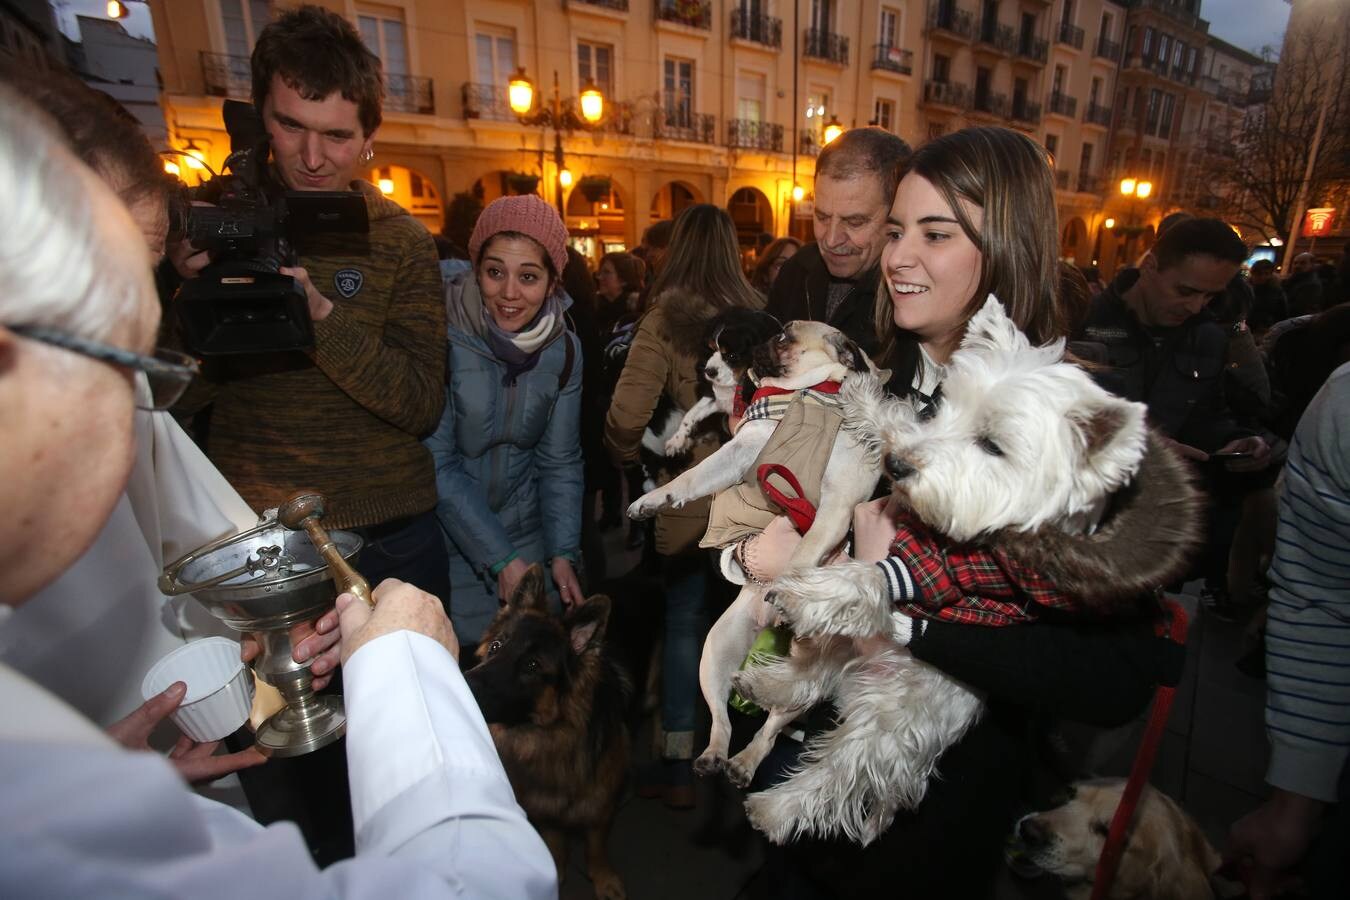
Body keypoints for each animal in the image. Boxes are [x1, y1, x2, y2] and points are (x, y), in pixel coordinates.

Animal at [464, 566, 631, 900]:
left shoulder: (600, 805)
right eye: (496, 646)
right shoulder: (544, 806)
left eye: (532, 665)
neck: (553, 736)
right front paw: (554, 871)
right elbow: (555, 842)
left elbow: (595, 847)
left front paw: (603, 878)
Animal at [734, 299, 1188, 847]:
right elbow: (893, 422)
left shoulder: (941, 568)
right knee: (808, 678)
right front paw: (862, 394)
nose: (900, 467)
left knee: (837, 775)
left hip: (886, 727)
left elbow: (870, 578)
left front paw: (803, 592)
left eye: (993, 444)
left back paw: (775, 809)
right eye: (952, 409)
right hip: (844, 651)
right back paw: (764, 687)